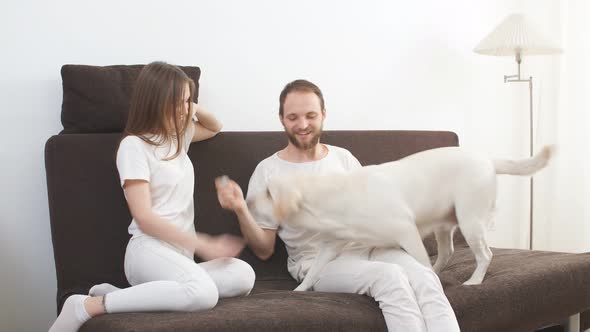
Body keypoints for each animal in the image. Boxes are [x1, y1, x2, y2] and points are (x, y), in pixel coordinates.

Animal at [246, 146, 556, 290]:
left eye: (268, 193)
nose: (247, 201)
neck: (332, 197)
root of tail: (488, 160)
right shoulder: (331, 245)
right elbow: (313, 272)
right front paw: (300, 290)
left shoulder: (407, 232)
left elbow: (420, 259)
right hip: (445, 224)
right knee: (448, 252)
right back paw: (441, 271)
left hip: (470, 220)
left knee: (485, 254)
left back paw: (474, 280)